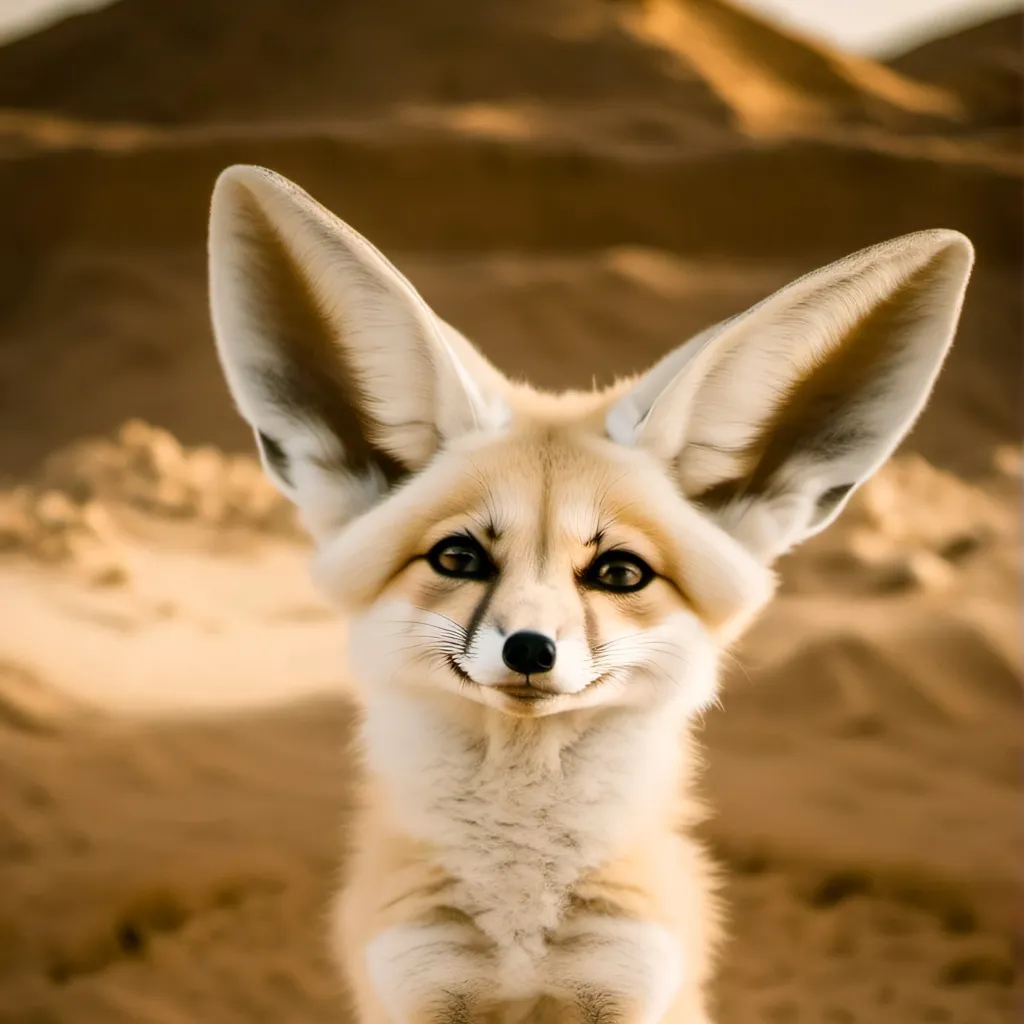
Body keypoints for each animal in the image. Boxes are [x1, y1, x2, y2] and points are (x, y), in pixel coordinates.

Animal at [206, 164, 973, 1023]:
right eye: (458, 557)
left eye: (619, 573)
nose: (529, 648)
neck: (522, 923)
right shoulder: (419, 983)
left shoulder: (627, 979)